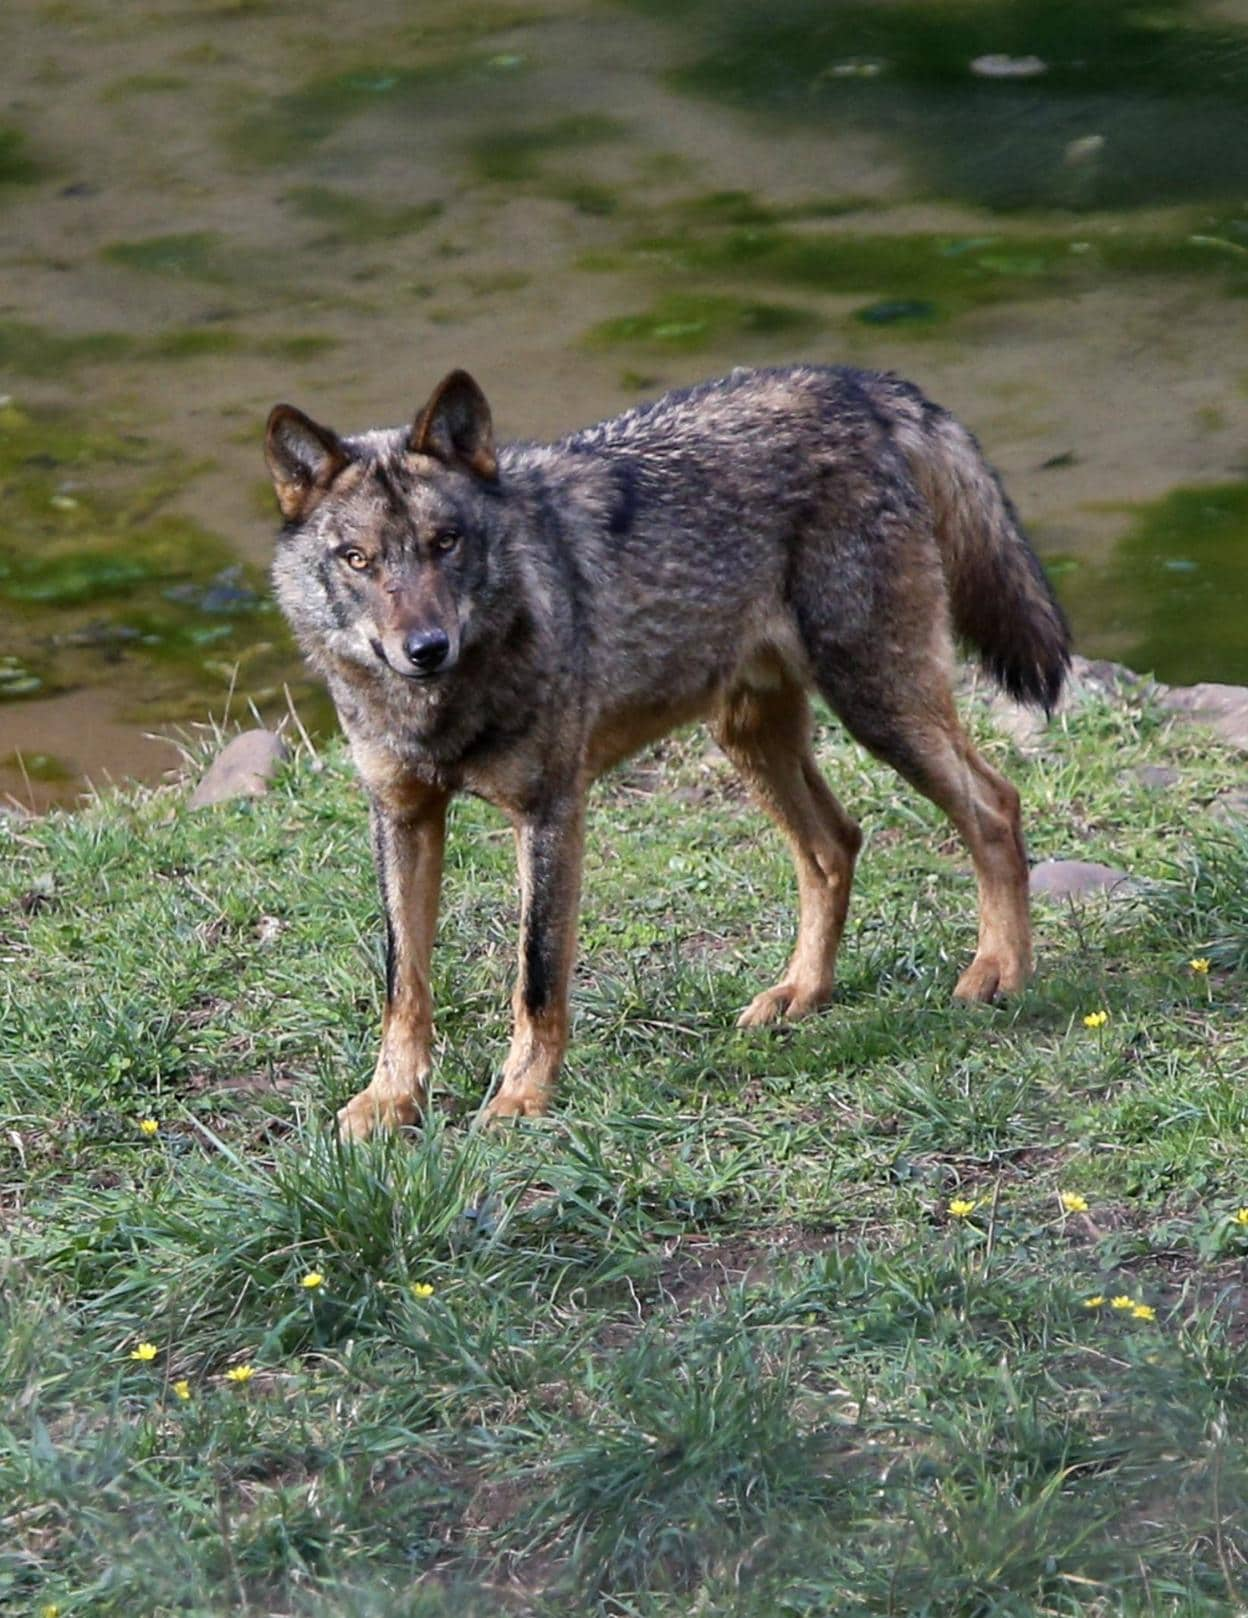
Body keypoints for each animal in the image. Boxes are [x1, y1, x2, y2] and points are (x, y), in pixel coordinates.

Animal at [268, 362, 1068, 1139]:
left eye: (446, 542)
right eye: (358, 559)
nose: (427, 649)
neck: (443, 704)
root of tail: (858, 383)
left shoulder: (550, 812)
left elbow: (537, 975)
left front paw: (522, 1097)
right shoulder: (402, 816)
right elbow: (402, 983)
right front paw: (390, 1100)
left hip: (878, 707)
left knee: (995, 805)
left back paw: (1000, 972)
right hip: (751, 736)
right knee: (835, 844)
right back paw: (803, 992)